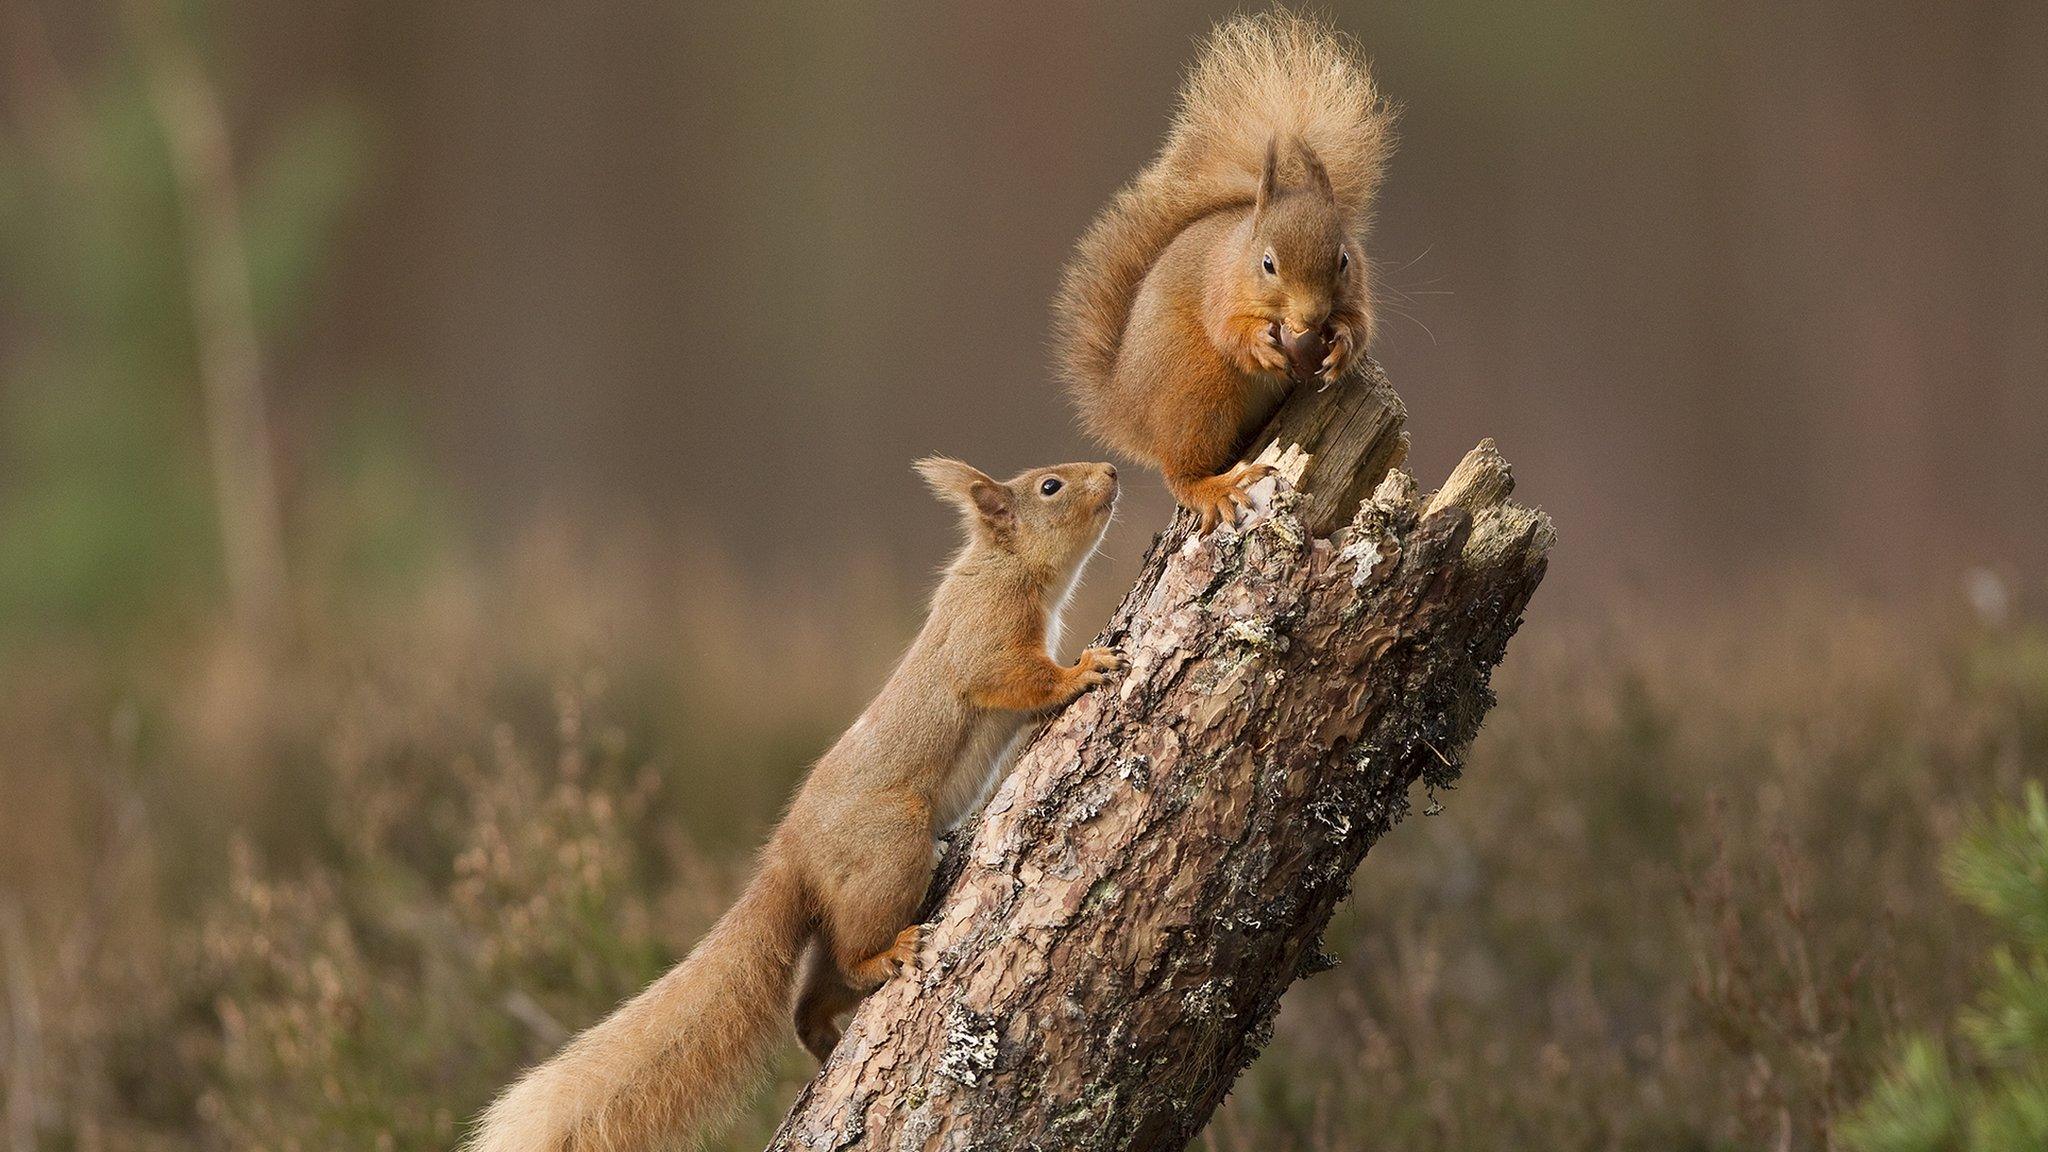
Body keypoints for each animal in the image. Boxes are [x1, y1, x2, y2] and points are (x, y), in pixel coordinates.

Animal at [468, 455, 1122, 1147]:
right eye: (1050, 486)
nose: (1110, 470)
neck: (1005, 569)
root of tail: (793, 855)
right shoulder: (985, 643)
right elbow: (1022, 679)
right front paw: (1084, 671)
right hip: (891, 851)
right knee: (850, 955)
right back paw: (886, 956)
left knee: (812, 993)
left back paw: (824, 1034)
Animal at [1048, 11, 1400, 532]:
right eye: (1268, 263)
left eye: (1343, 260)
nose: (1311, 318)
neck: (1239, 250)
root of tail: (1130, 411)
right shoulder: (1219, 289)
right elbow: (1228, 329)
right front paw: (1260, 345)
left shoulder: (1357, 292)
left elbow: (1360, 323)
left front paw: (1341, 347)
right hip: (1200, 388)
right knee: (1181, 472)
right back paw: (1215, 486)